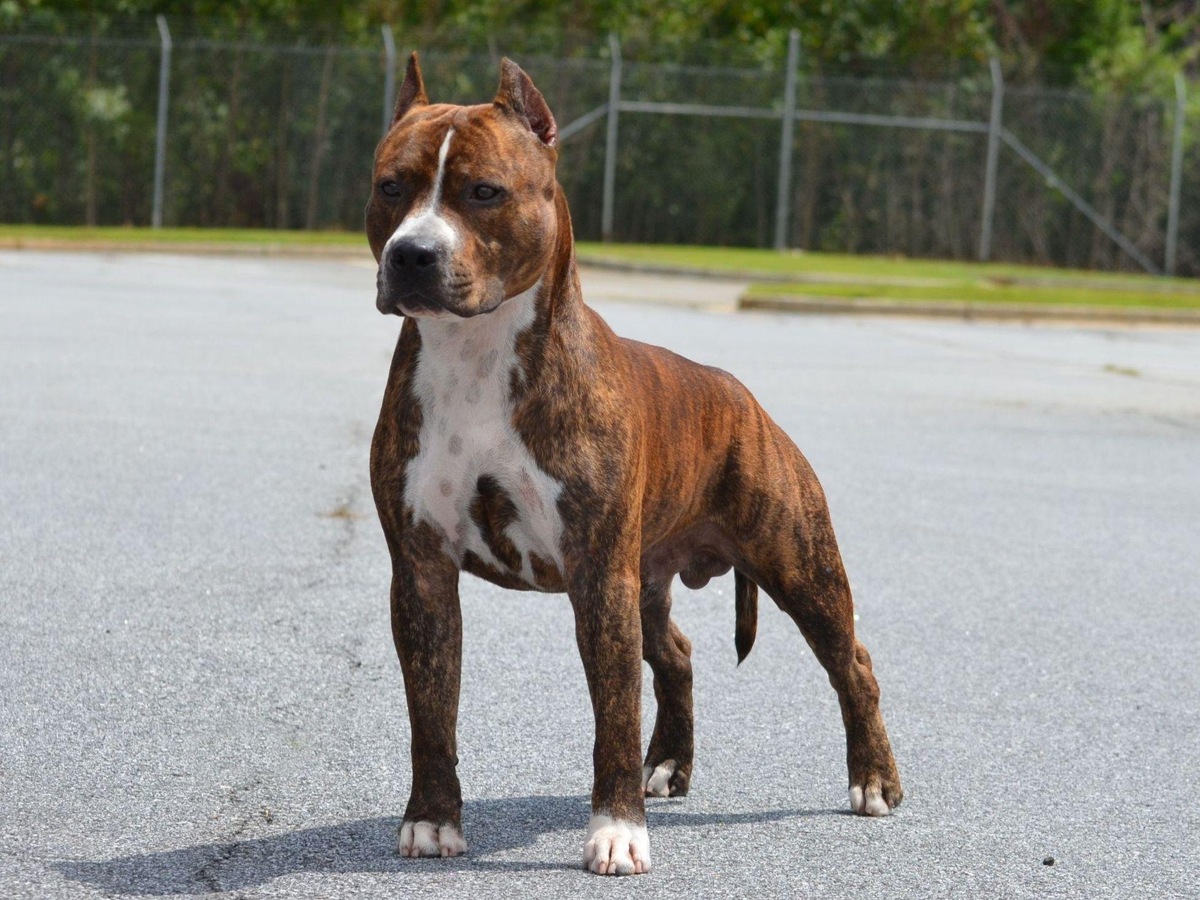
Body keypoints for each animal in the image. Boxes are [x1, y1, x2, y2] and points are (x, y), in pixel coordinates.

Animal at [365, 53, 902, 876]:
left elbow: (612, 714)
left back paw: (873, 780)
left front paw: (617, 832)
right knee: (676, 656)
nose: (412, 255)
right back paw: (669, 766)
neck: (476, 355)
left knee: (854, 662)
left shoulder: (597, 576)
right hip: (645, 579)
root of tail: (740, 393)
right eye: (391, 186)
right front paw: (431, 820)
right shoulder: (422, 572)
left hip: (796, 565)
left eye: (484, 191)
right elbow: (432, 710)